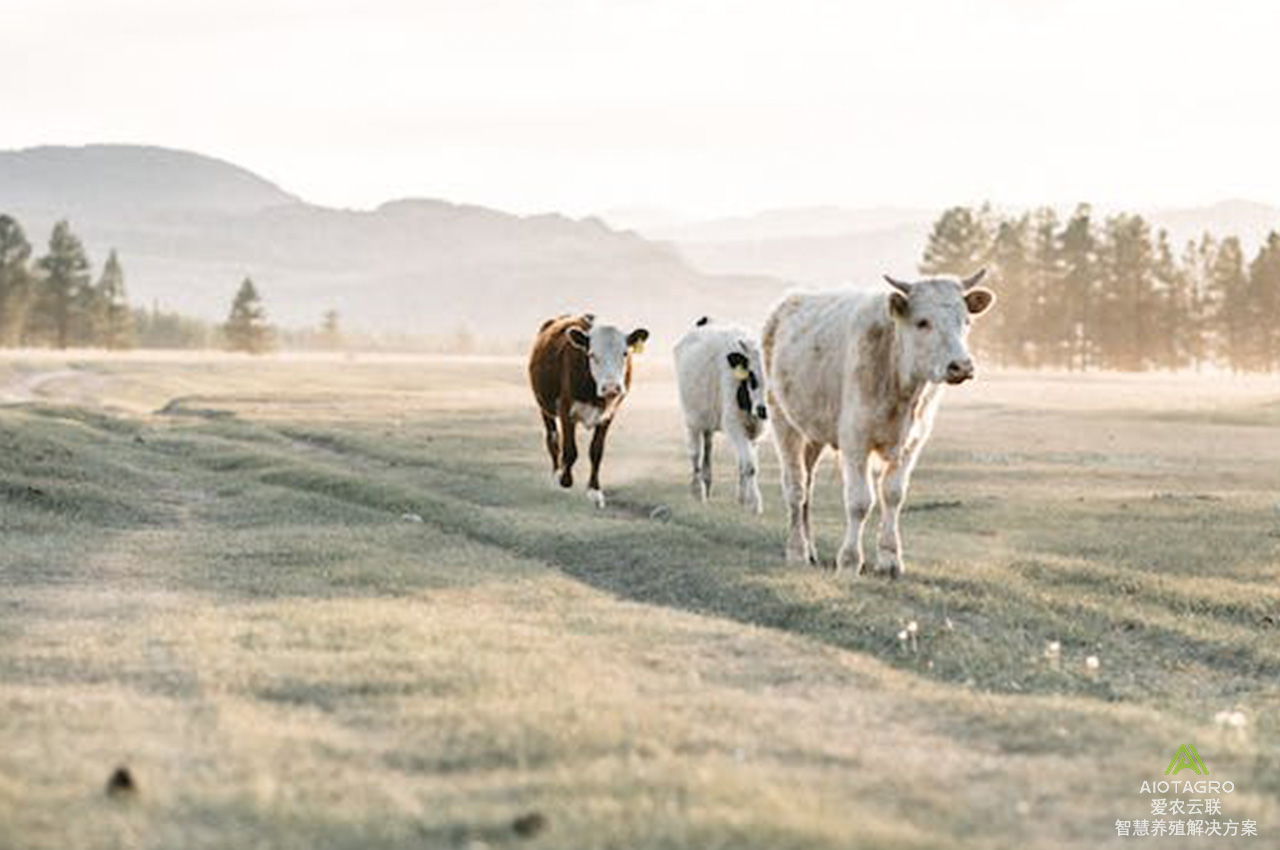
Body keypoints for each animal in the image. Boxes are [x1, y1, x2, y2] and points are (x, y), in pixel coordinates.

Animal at [527, 314, 650, 506]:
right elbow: (570, 450)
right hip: (544, 406)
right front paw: (565, 479)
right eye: (592, 355)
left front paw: (594, 490)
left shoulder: (608, 414)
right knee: (553, 439)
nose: (611, 387)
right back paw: (556, 473)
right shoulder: (566, 409)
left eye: (625, 353)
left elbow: (596, 451)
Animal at [675, 317, 762, 512]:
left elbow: (745, 463)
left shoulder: (754, 429)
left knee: (708, 446)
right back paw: (698, 491)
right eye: (752, 376)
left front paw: (743, 499)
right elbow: (750, 465)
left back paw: (707, 483)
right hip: (692, 419)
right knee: (696, 454)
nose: (763, 409)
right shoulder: (734, 425)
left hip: (707, 419)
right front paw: (754, 504)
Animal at [762, 272, 993, 578]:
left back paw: (810, 551)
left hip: (814, 431)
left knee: (808, 485)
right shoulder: (855, 441)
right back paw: (797, 551)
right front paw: (849, 561)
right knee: (796, 487)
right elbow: (860, 502)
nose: (962, 366)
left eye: (966, 321)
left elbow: (893, 495)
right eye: (922, 322)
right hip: (784, 422)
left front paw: (889, 559)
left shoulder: (911, 444)